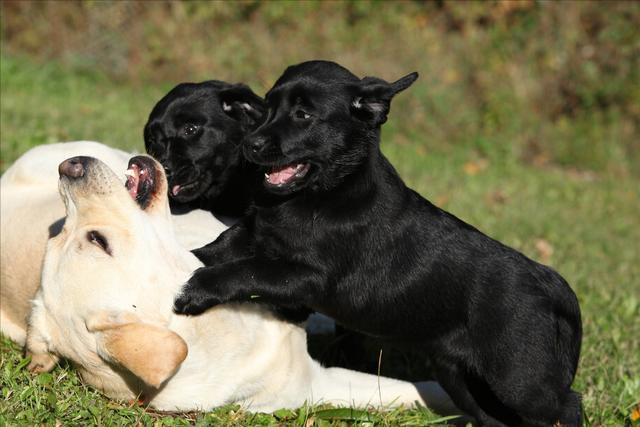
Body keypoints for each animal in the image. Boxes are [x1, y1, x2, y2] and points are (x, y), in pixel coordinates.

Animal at [172, 61, 584, 427]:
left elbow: (247, 270)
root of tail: (547, 279)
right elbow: (219, 248)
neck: (324, 194)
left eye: (303, 114)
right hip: (462, 377)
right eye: (268, 109)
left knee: (568, 405)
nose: (250, 145)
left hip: (518, 376)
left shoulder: (309, 278)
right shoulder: (253, 234)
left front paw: (195, 290)